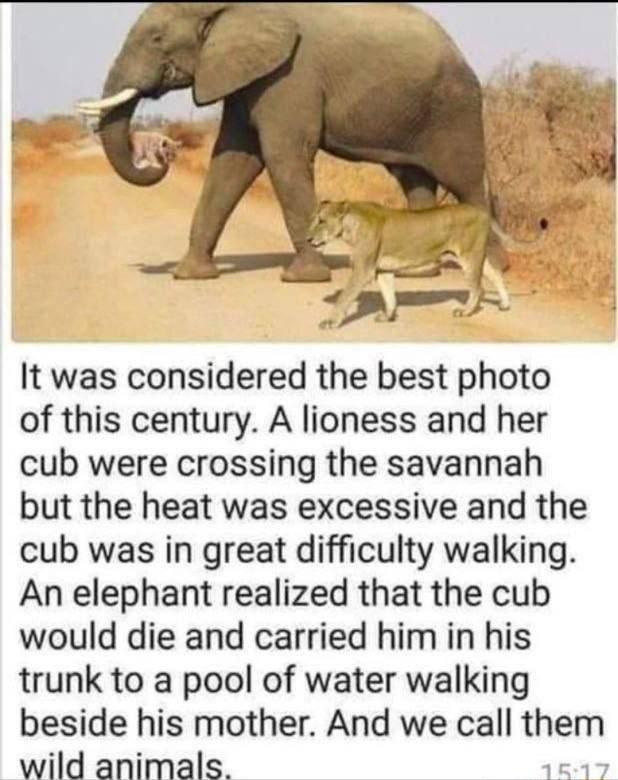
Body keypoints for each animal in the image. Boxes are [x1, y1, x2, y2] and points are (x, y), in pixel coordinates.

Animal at [77, 2, 492, 283]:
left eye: (157, 38)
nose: (161, 156)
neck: (234, 9)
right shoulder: (246, 77)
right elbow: (232, 160)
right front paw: (191, 275)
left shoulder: (290, 76)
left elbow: (282, 158)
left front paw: (305, 278)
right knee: (414, 179)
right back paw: (417, 274)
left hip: (456, 108)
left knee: (467, 182)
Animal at [308, 201, 548, 330]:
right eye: (314, 219)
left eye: (321, 221)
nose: (308, 239)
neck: (349, 227)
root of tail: (482, 210)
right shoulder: (383, 270)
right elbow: (389, 295)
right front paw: (388, 316)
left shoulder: (362, 270)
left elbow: (344, 297)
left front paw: (330, 322)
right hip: (477, 255)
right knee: (496, 274)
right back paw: (504, 304)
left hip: (469, 257)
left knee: (477, 288)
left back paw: (464, 311)